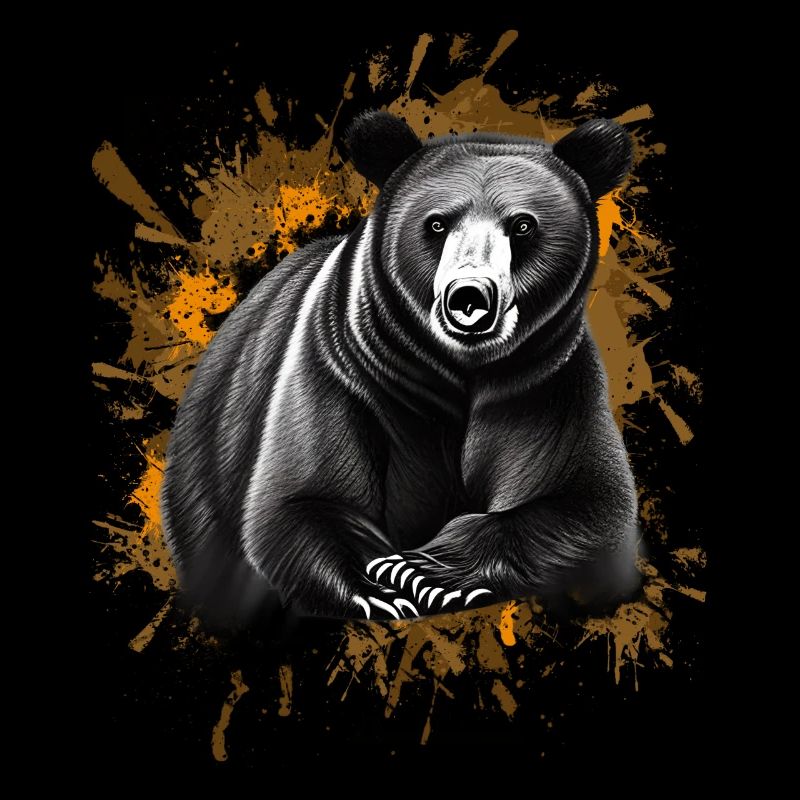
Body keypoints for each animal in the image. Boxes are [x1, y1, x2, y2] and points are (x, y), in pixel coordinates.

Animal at [160, 110, 640, 626]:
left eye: (523, 225)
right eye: (437, 223)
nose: (469, 296)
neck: (461, 370)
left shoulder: (545, 385)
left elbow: (589, 503)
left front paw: (427, 571)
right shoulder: (344, 368)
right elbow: (301, 499)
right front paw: (380, 586)